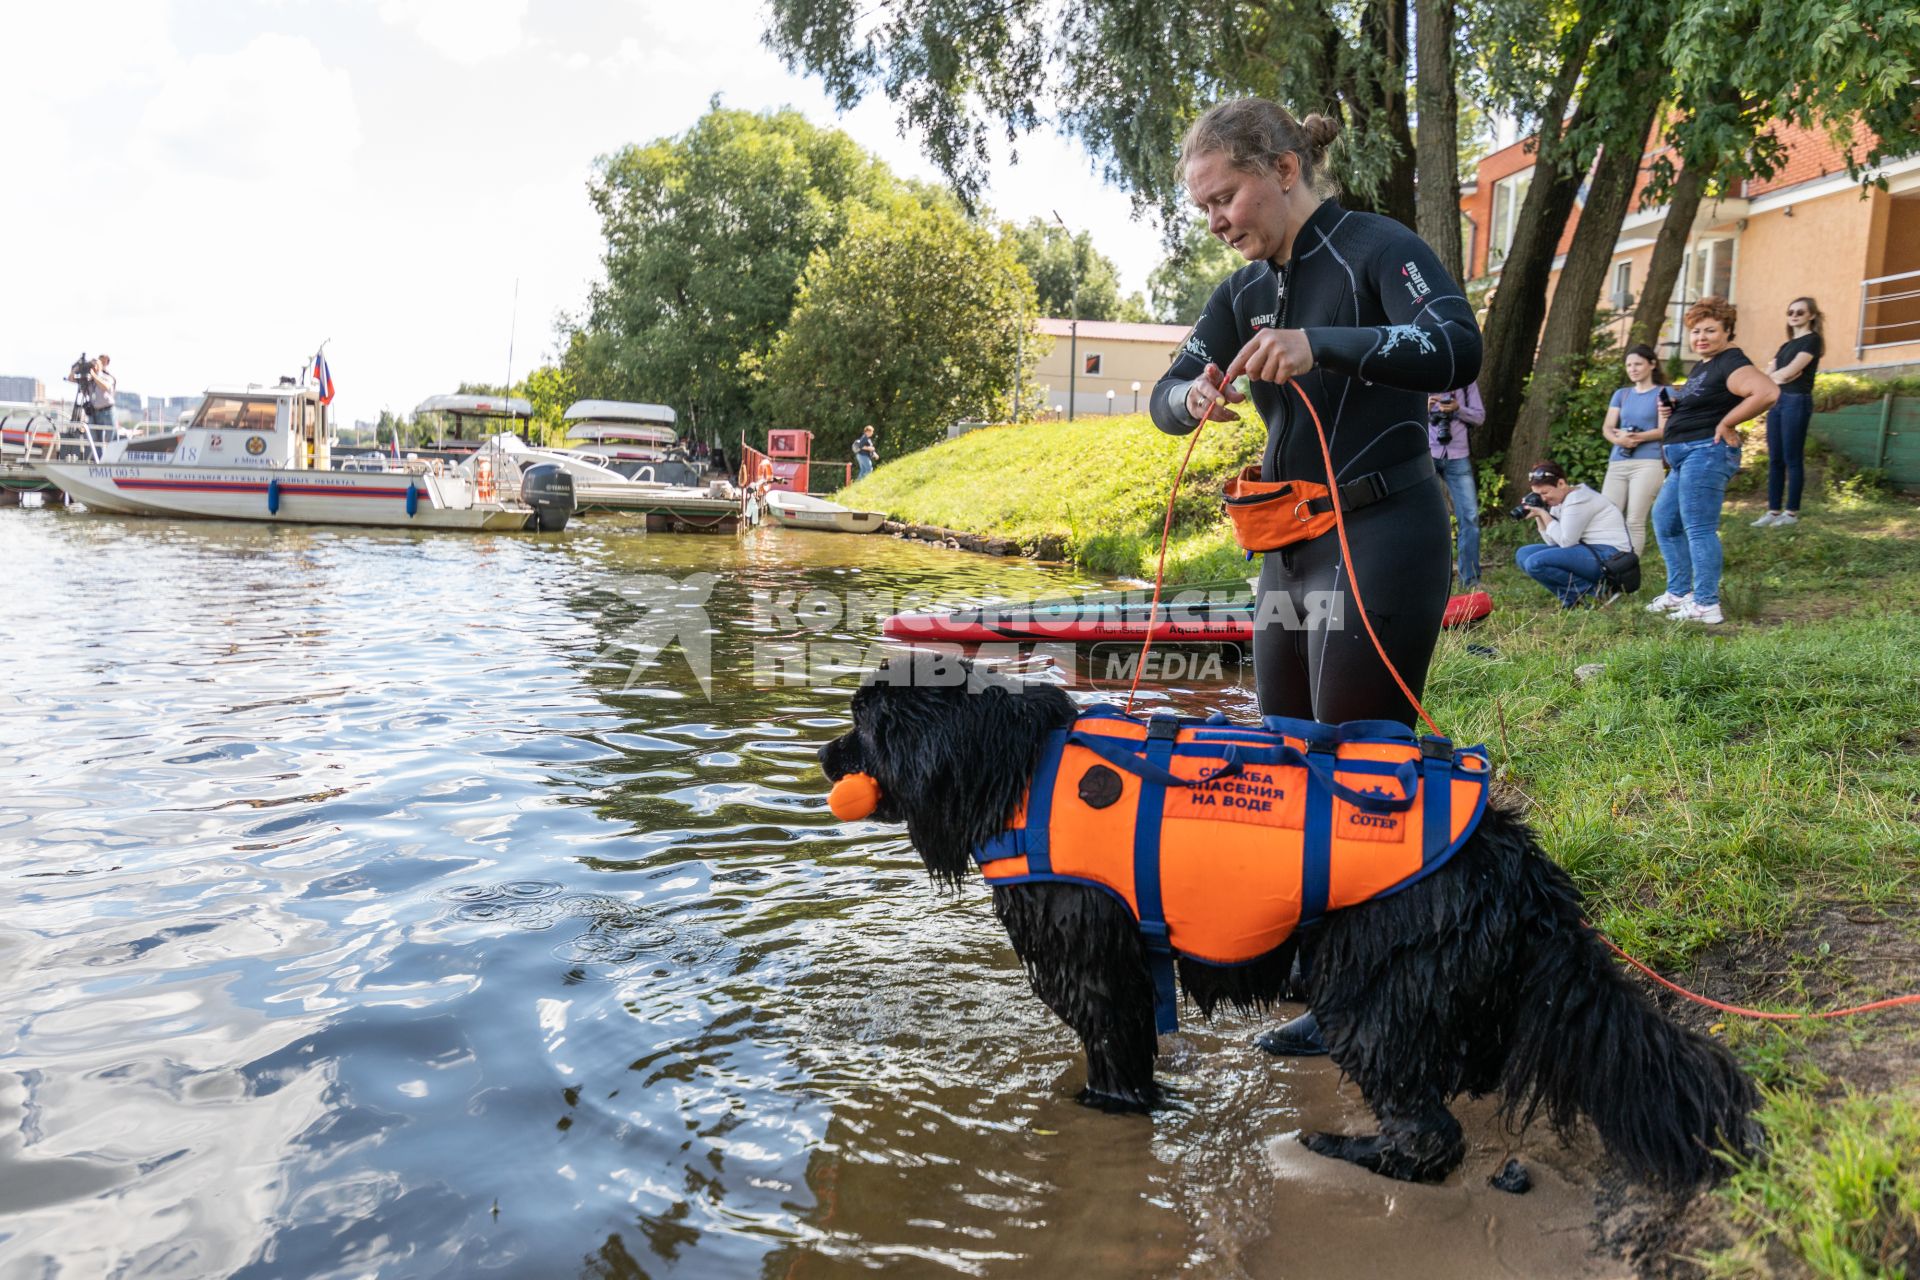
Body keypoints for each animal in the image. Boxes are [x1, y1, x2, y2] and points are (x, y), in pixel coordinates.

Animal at [817, 660, 1758, 1189]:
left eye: (862, 725)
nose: (823, 759)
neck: (1016, 765)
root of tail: (1518, 862)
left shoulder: (1093, 959)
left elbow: (1113, 1054)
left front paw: (1105, 1107)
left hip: (1373, 987)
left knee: (1430, 1136)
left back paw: (1343, 1149)